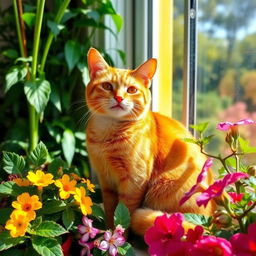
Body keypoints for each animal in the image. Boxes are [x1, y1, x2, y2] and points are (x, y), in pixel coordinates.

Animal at [85, 47, 215, 235]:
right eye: (107, 86)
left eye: (131, 90)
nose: (119, 98)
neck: (108, 134)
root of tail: (210, 224)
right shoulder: (106, 181)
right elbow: (110, 211)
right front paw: (108, 232)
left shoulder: (134, 182)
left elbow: (125, 212)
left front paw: (120, 236)